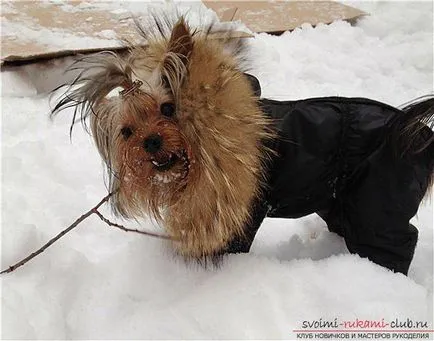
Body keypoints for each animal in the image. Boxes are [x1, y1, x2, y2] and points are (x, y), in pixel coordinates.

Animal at [51, 17, 434, 274]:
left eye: (168, 109)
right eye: (127, 132)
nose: (151, 141)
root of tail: (413, 128)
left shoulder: (242, 210)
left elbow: (230, 243)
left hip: (379, 201)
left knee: (394, 241)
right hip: (343, 199)